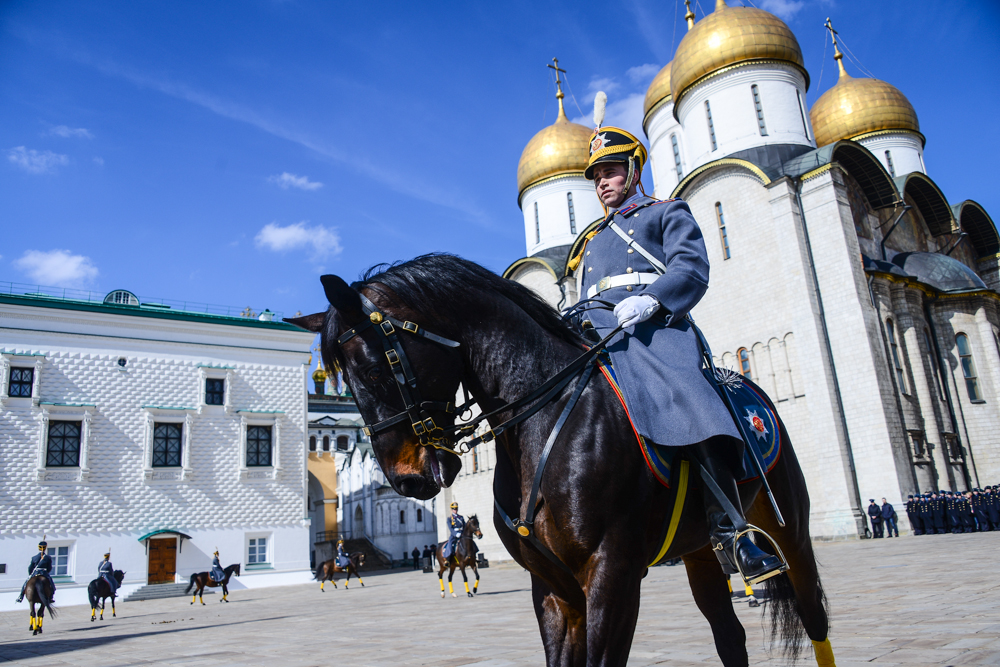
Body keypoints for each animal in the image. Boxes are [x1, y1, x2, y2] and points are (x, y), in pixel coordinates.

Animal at [290, 256, 836, 667]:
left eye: (374, 366)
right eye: (345, 378)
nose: (405, 480)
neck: (547, 420)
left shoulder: (613, 574)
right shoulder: (553, 588)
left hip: (789, 532)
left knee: (815, 619)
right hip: (701, 551)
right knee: (729, 638)